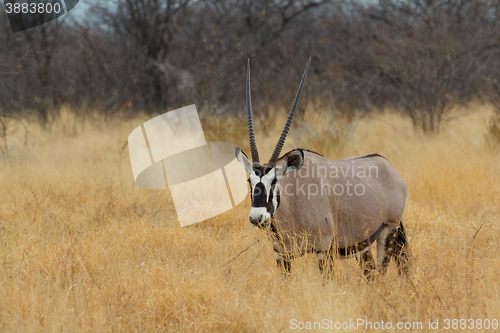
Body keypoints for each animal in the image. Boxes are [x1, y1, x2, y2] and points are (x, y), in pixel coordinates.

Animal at [236, 57, 408, 278]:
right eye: (250, 181)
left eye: (274, 181)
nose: (257, 218)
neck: (294, 198)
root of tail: (388, 167)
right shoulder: (282, 255)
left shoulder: (323, 250)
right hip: (363, 244)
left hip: (388, 230)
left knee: (380, 274)